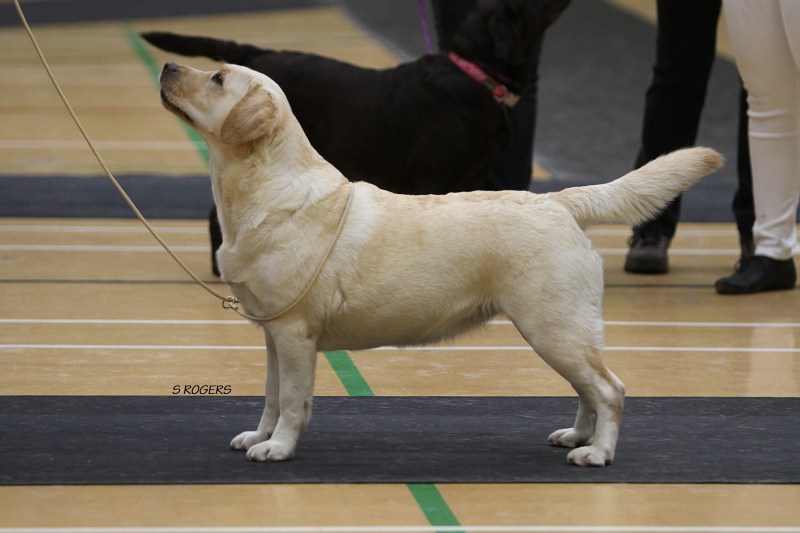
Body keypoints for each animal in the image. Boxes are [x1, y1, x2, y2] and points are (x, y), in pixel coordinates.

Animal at [159, 60, 720, 464]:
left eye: (217, 77)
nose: (166, 65)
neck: (262, 190)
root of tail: (558, 201)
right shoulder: (274, 334)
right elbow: (272, 397)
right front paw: (259, 436)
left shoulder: (296, 333)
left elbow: (294, 401)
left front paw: (277, 448)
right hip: (562, 332)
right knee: (588, 388)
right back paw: (576, 437)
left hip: (553, 327)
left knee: (610, 389)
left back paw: (597, 453)